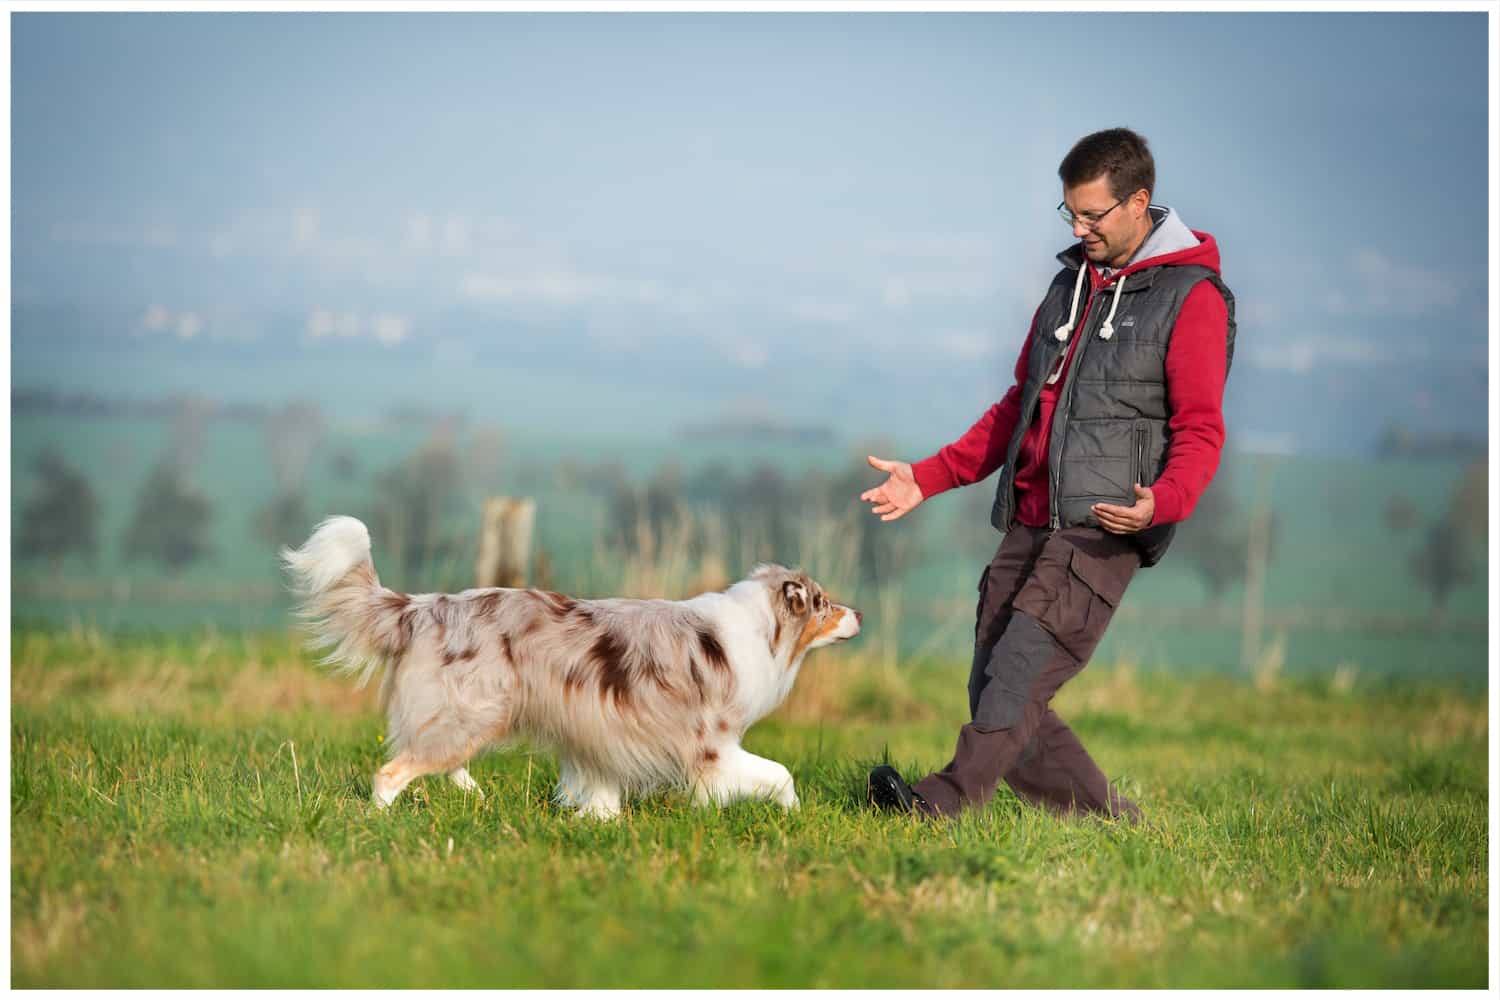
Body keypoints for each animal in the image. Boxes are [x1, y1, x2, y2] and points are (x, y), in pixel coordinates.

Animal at [282, 521, 864, 815]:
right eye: (823, 602)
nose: (859, 613)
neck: (760, 628)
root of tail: (422, 606)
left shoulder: (601, 721)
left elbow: (601, 785)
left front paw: (599, 820)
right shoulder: (711, 745)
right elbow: (781, 774)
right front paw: (792, 812)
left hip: (474, 713)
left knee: (437, 758)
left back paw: (474, 795)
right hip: (473, 709)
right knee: (393, 770)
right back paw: (383, 820)